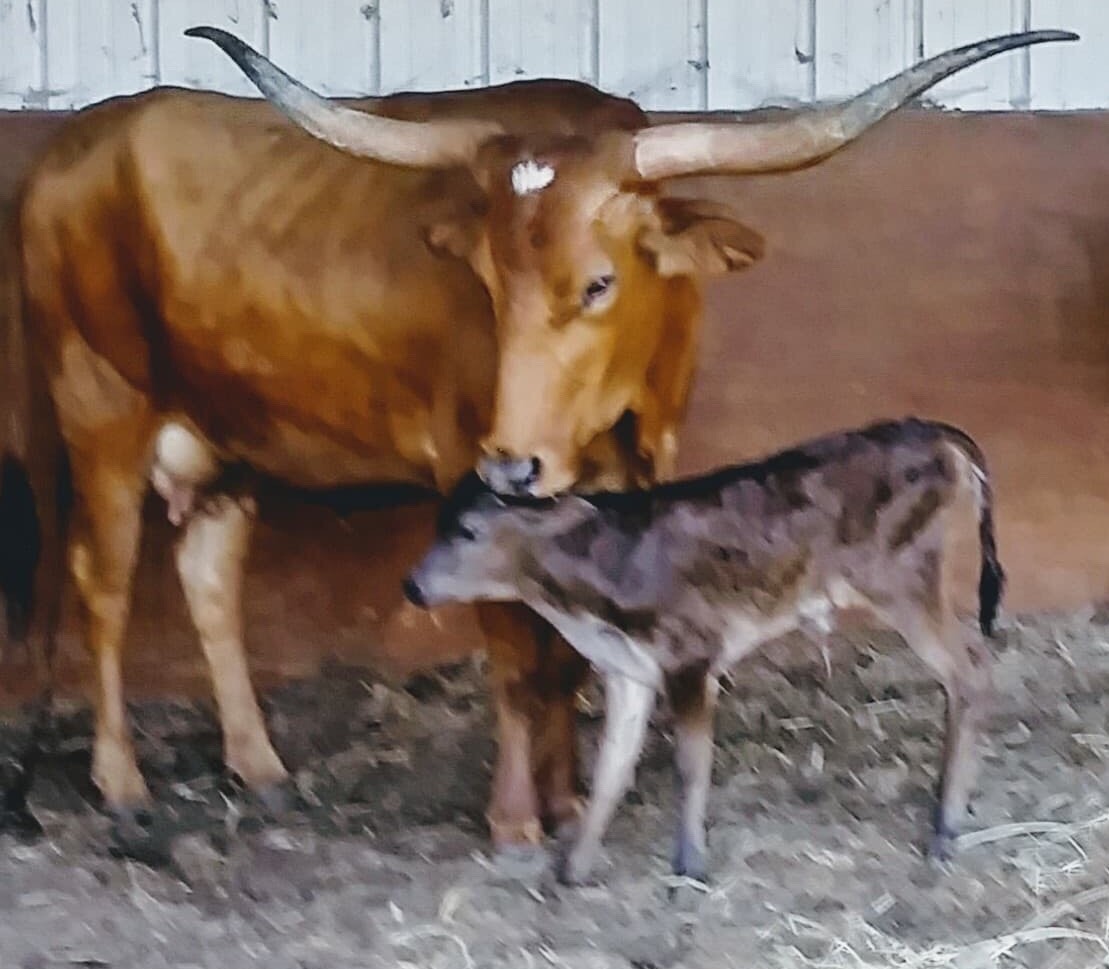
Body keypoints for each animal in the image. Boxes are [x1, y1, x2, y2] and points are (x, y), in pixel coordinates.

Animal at [405, 417, 1004, 883]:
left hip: (906, 582)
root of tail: (929, 430)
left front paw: (689, 863)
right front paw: (573, 870)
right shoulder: (629, 672)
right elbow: (611, 771)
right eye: (437, 523)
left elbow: (691, 764)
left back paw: (946, 828)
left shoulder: (691, 656)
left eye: (468, 530)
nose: (412, 587)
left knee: (971, 670)